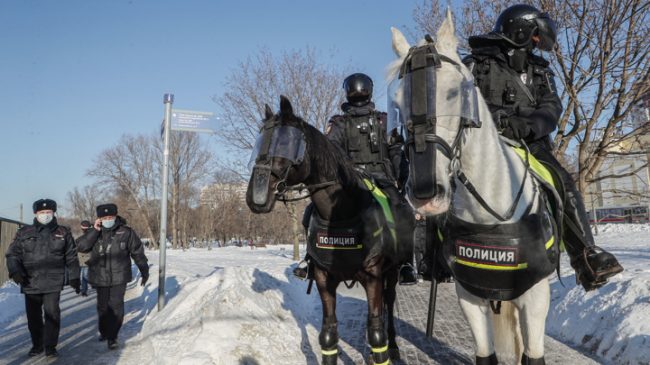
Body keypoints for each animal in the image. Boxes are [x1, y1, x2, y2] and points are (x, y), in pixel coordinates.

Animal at [246, 95, 402, 362]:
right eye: (259, 144)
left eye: (287, 143)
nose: (256, 197)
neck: (341, 214)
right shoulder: (323, 278)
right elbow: (328, 333)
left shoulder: (373, 276)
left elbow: (376, 334)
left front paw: (383, 346)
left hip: (391, 273)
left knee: (388, 304)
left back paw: (393, 345)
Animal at [384, 9, 556, 364]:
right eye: (398, 101)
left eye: (455, 92)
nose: (426, 194)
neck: (491, 212)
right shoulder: (471, 297)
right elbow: (485, 354)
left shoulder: (535, 297)